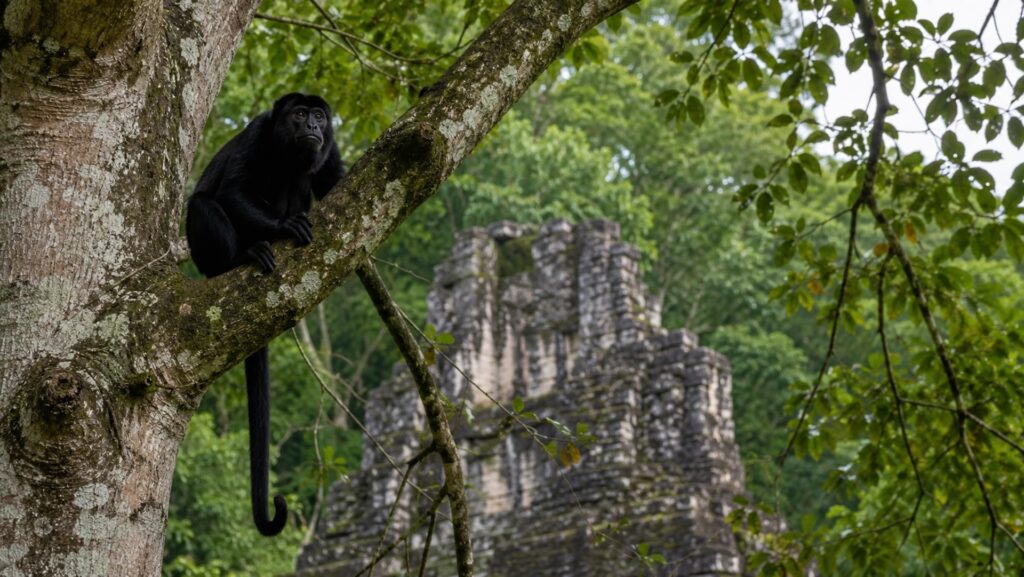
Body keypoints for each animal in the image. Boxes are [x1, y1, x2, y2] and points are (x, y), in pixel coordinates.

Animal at [185, 93, 345, 536]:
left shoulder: (330, 147)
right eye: (299, 114)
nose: (312, 125)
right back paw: (245, 254)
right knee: (203, 203)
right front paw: (286, 226)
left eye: (320, 116)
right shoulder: (258, 133)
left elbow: (337, 184)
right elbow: (234, 191)